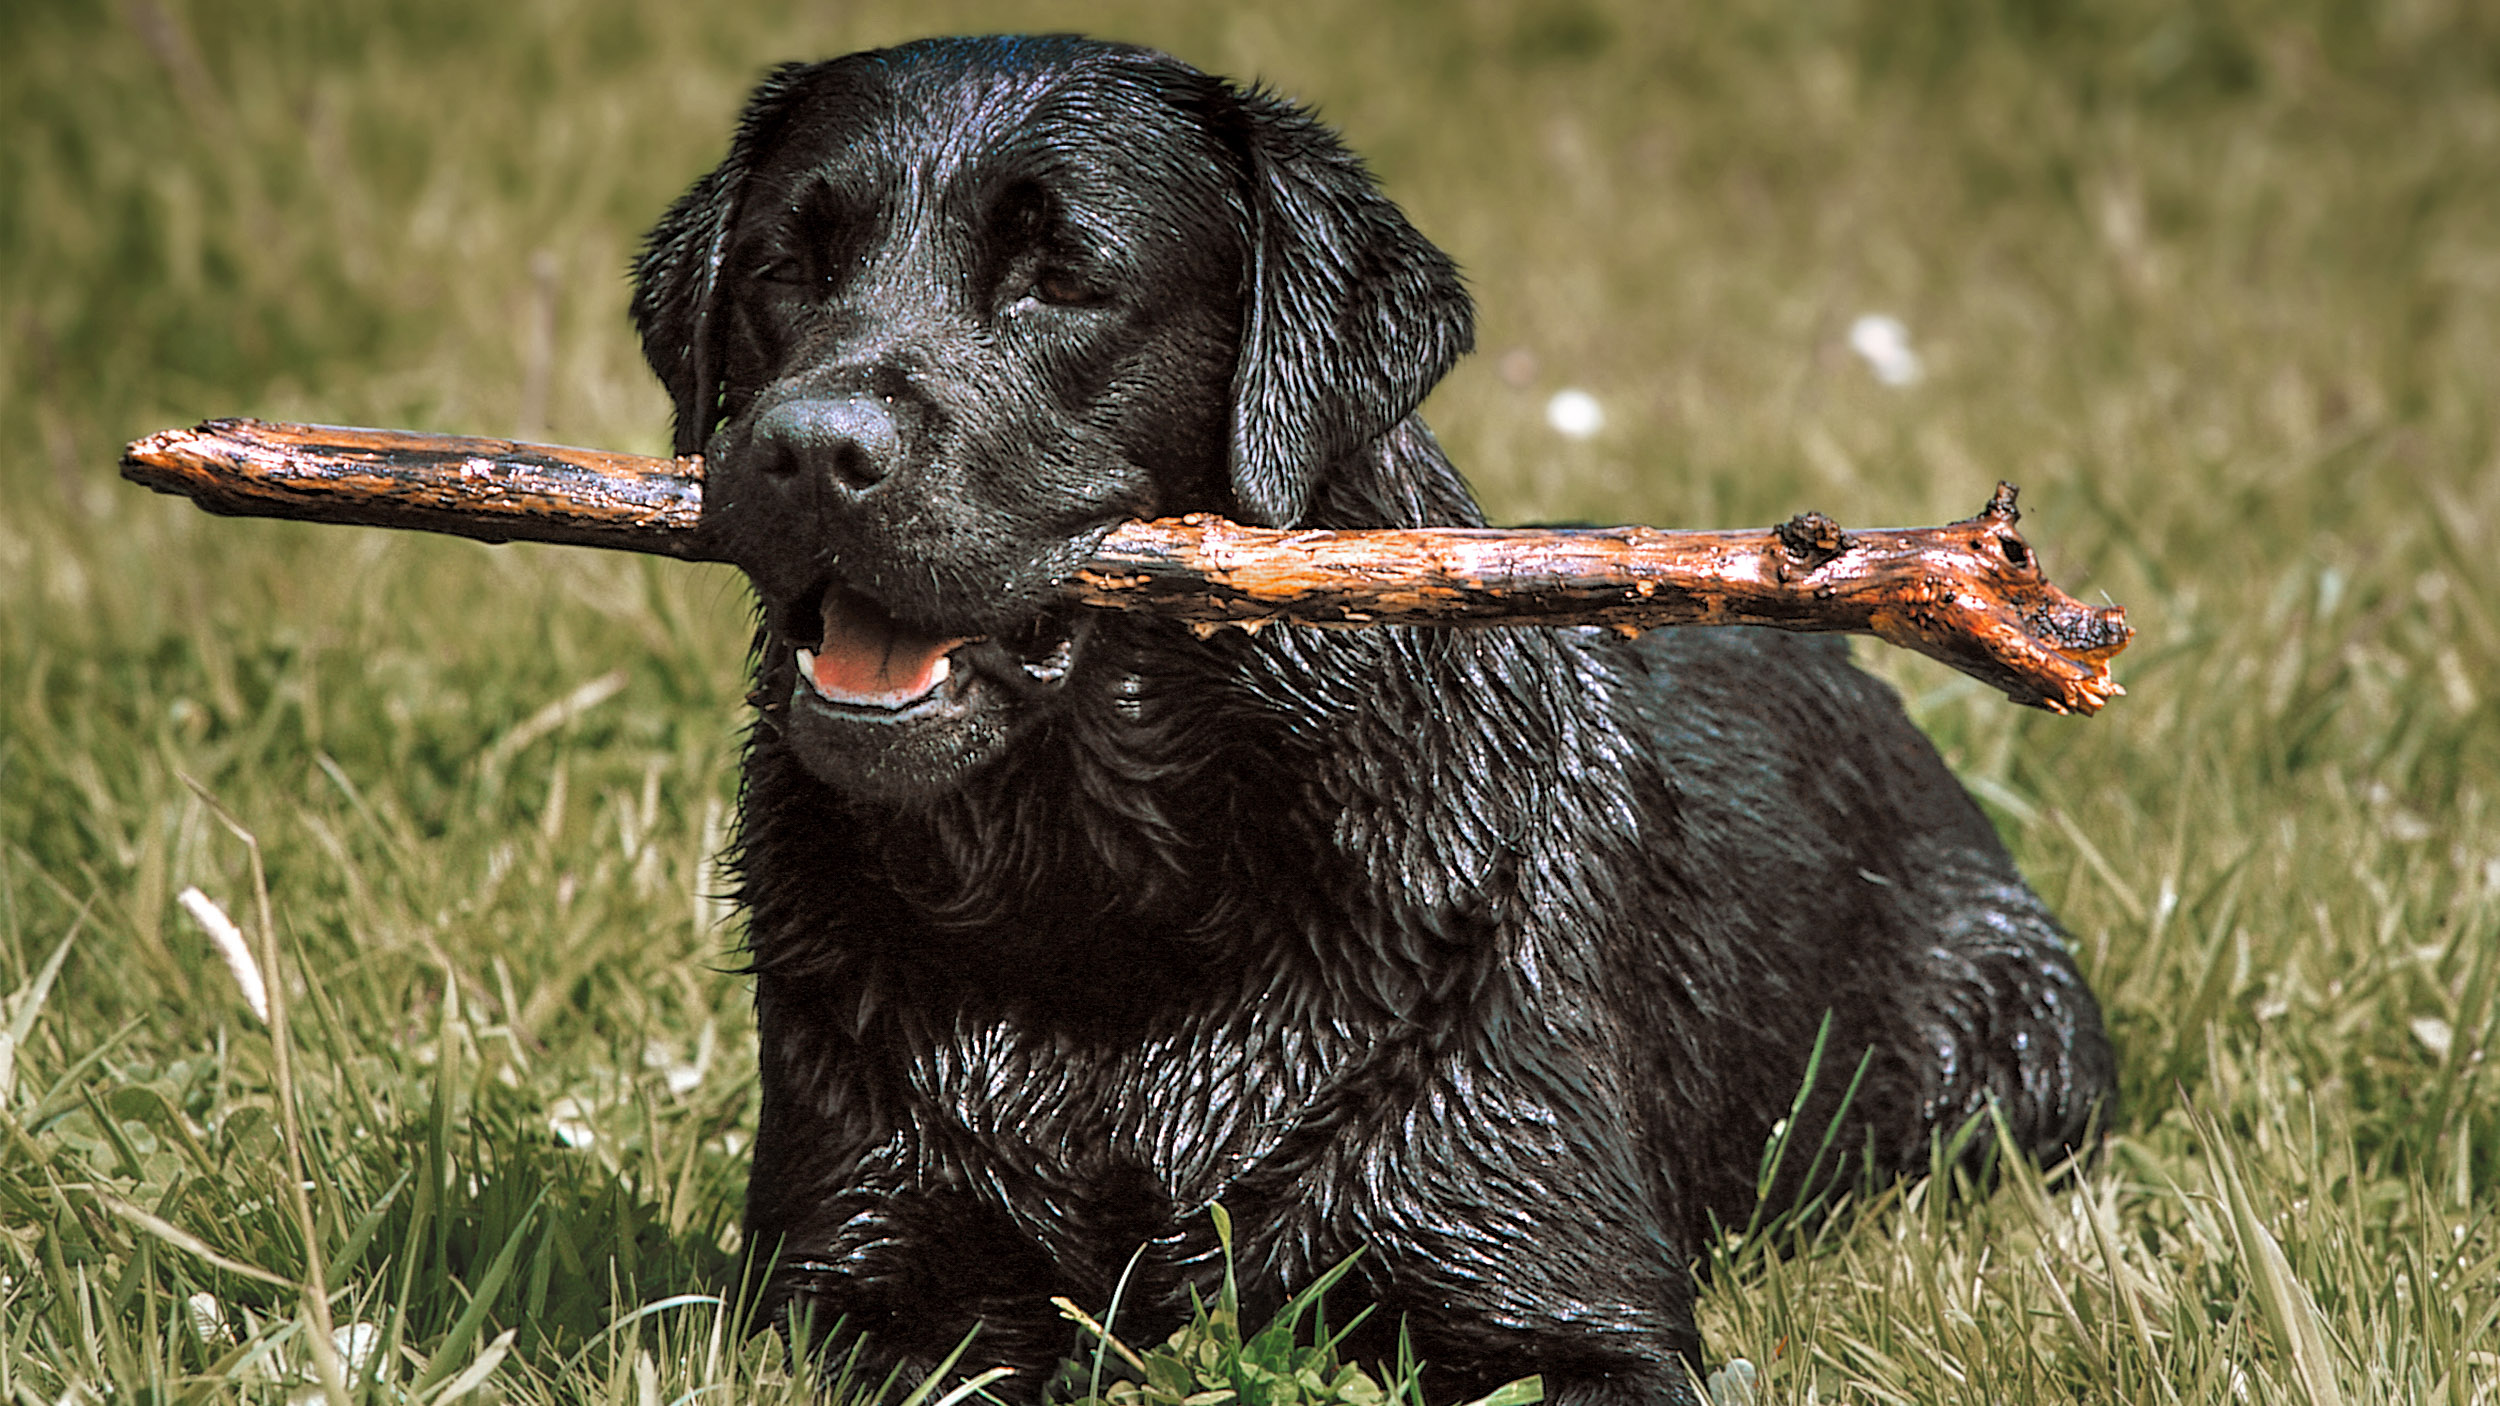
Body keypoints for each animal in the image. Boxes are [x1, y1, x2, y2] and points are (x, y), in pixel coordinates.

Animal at [635, 35, 2120, 1400]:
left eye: (1060, 277)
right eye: (782, 267)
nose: (808, 448)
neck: (1108, 896)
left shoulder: (1561, 1293)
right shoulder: (853, 1278)